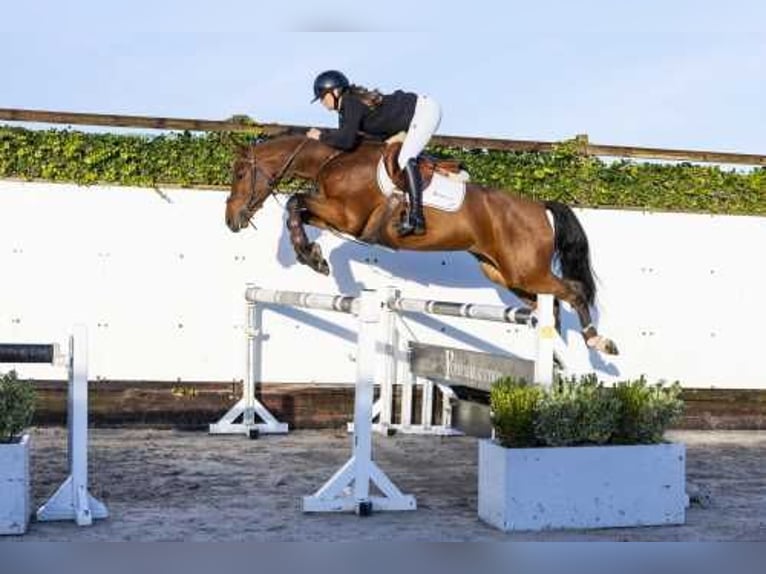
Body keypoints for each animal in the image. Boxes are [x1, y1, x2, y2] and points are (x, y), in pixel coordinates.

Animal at [225, 135, 620, 356]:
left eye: (241, 173)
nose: (231, 220)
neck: (334, 160)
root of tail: (540, 207)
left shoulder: (348, 216)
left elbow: (295, 201)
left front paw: (311, 256)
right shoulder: (336, 216)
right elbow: (300, 210)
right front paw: (312, 255)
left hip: (527, 271)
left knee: (573, 291)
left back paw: (598, 342)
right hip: (505, 275)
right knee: (549, 305)